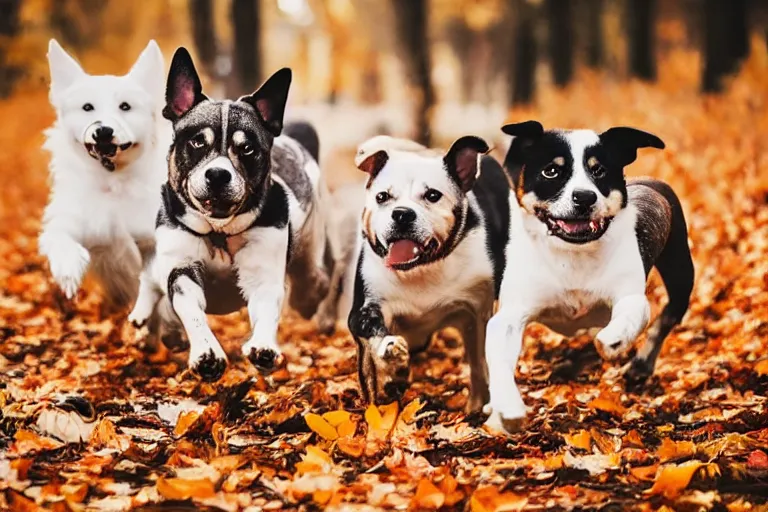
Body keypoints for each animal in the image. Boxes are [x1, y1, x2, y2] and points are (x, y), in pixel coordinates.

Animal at [130, 48, 332, 380]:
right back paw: (142, 316)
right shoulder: (181, 266)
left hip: (310, 247)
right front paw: (206, 353)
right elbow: (190, 307)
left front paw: (264, 347)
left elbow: (267, 306)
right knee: (151, 277)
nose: (217, 174)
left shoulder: (263, 269)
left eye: (247, 148)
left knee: (313, 279)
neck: (218, 231)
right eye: (197, 141)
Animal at [348, 136, 510, 412]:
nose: (402, 213)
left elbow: (479, 362)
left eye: (433, 195)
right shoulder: (365, 309)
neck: (421, 269)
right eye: (382, 196)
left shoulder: (477, 313)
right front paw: (390, 356)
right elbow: (374, 338)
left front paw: (480, 404)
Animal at [486, 122, 696, 434]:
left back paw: (640, 364)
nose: (585, 196)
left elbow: (633, 313)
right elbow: (500, 349)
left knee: (668, 315)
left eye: (599, 171)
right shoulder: (512, 310)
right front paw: (506, 408)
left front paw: (613, 339)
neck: (574, 252)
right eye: (551, 171)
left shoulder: (629, 293)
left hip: (680, 265)